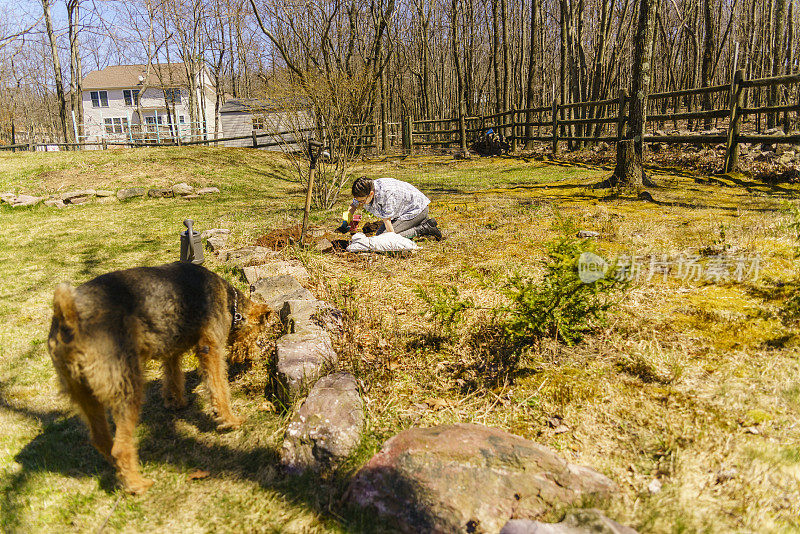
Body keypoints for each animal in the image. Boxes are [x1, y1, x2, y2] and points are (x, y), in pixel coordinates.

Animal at [47, 262, 272, 496]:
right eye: (258, 333)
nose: (250, 360)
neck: (230, 302)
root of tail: (69, 318)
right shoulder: (210, 347)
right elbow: (218, 386)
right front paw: (229, 419)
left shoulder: (171, 350)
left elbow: (173, 378)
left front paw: (176, 403)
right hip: (127, 387)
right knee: (120, 447)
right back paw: (137, 484)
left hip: (84, 394)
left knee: (102, 439)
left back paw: (120, 473)